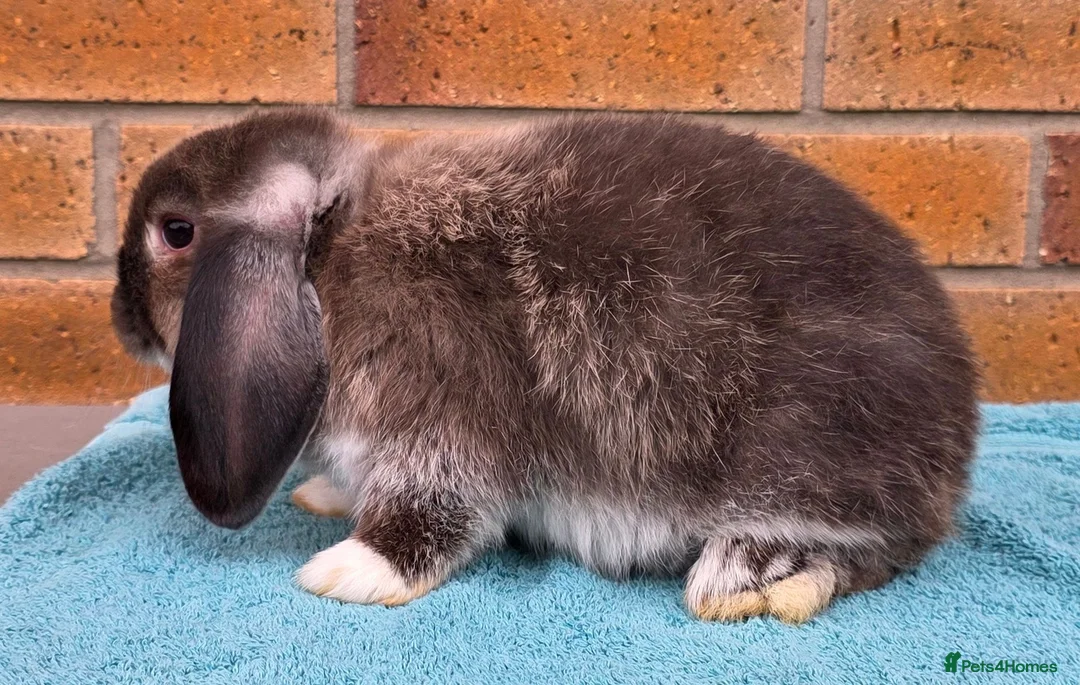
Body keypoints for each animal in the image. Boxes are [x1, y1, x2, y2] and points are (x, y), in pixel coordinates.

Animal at [111, 108, 978, 623]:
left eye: (175, 232)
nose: (120, 318)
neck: (332, 260)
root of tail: (960, 427)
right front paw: (326, 493)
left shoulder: (439, 415)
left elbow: (436, 508)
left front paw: (350, 569)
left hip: (805, 456)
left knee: (878, 545)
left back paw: (752, 576)